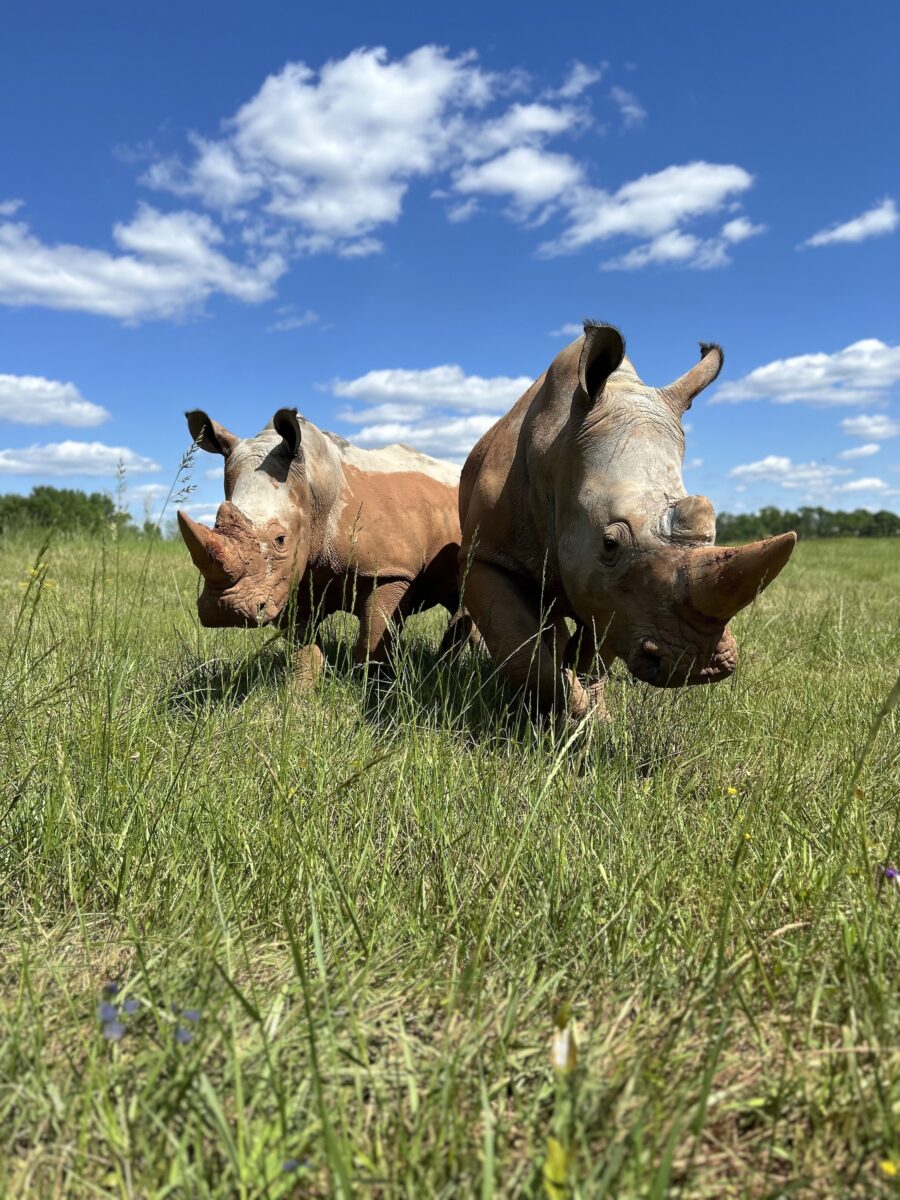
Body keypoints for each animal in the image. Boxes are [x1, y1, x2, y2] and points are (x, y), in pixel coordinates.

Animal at [177, 408, 467, 678]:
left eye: (280, 540)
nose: (224, 610)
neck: (313, 485)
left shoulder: (388, 571)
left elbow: (373, 641)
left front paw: (373, 687)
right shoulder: (292, 578)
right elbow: (304, 652)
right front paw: (298, 695)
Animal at [458, 322, 796, 720]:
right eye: (610, 544)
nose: (699, 667)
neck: (557, 448)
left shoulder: (613, 598)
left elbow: (597, 653)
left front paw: (592, 715)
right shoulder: (487, 554)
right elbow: (520, 652)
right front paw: (569, 708)